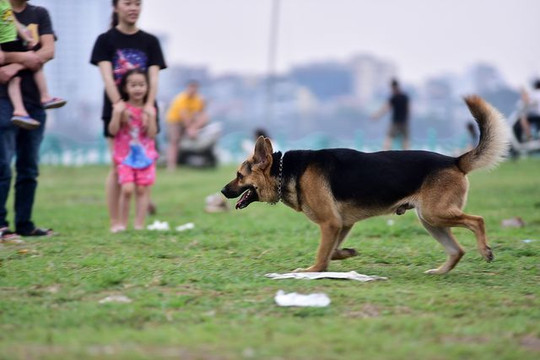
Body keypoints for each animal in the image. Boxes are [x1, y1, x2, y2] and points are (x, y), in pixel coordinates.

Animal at [221, 95, 508, 272]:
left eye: (238, 175)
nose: (222, 191)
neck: (287, 171)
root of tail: (455, 160)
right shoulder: (341, 224)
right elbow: (333, 250)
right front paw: (346, 253)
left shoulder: (330, 223)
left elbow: (321, 255)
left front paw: (312, 271)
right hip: (430, 220)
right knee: (457, 250)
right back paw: (440, 271)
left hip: (434, 214)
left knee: (477, 220)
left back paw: (485, 251)